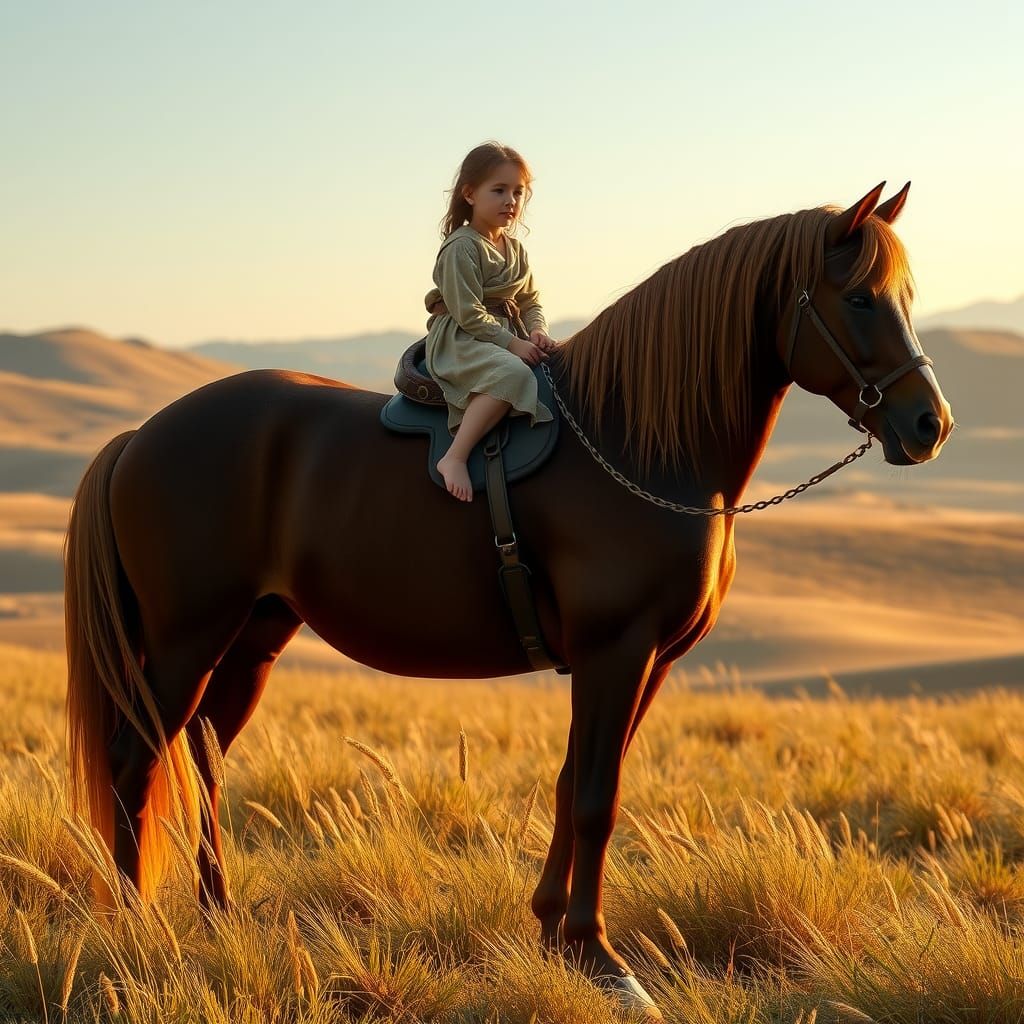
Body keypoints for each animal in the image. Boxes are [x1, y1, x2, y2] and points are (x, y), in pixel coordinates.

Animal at [64, 182, 952, 1018]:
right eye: (861, 298)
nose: (929, 425)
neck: (633, 443)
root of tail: (140, 438)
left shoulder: (648, 662)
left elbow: (573, 782)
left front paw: (554, 931)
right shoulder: (616, 652)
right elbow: (597, 798)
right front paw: (603, 959)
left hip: (255, 637)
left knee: (205, 755)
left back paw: (217, 915)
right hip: (185, 639)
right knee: (135, 758)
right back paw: (135, 924)